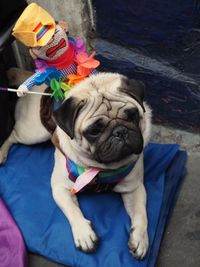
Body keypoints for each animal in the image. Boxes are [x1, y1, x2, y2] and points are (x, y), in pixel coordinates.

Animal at [0, 72, 152, 260]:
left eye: (132, 116)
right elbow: (73, 211)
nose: (120, 131)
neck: (101, 169)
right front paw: (84, 233)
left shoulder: (134, 188)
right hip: (32, 133)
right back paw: (2, 152)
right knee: (12, 135)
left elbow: (141, 214)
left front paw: (140, 239)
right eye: (94, 131)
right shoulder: (60, 188)